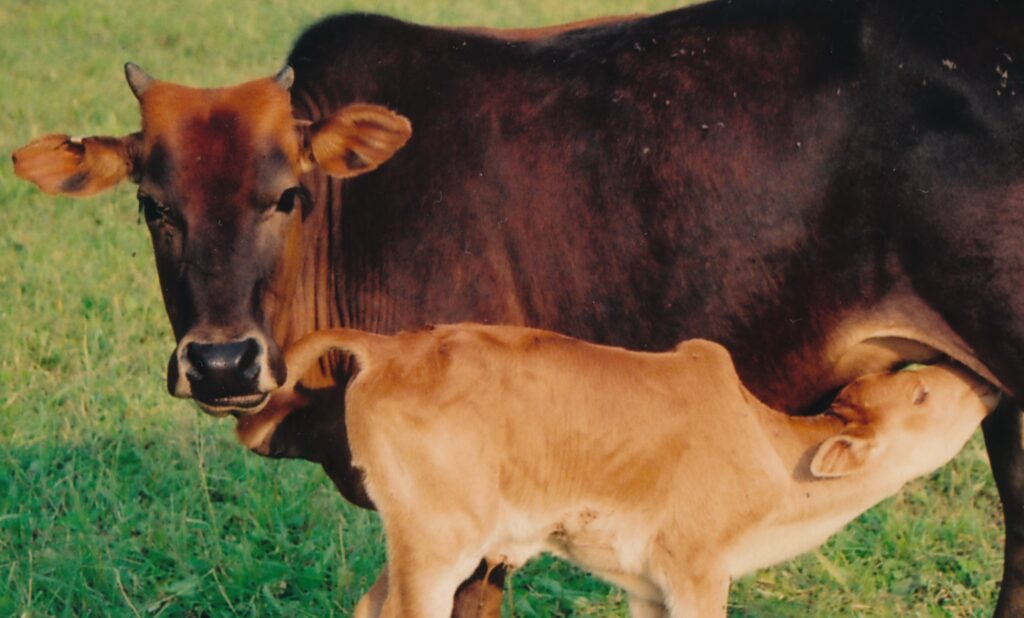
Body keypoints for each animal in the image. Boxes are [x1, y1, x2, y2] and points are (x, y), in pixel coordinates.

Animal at [274, 325, 999, 613]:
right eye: (921, 394)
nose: (976, 377)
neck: (772, 455)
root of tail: (391, 346)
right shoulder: (698, 574)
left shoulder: (649, 586)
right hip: (436, 550)